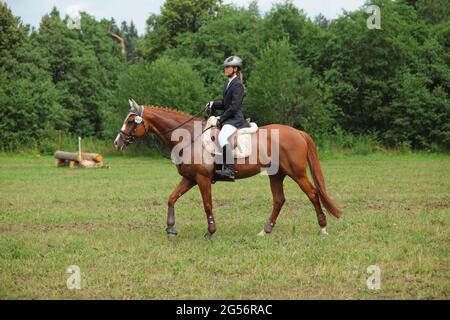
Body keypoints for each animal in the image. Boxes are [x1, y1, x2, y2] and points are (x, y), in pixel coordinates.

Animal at [113, 99, 342, 239]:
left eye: (131, 121)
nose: (117, 143)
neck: (190, 137)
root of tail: (297, 132)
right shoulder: (190, 178)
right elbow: (171, 198)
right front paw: (170, 229)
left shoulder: (202, 178)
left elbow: (207, 204)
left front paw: (210, 232)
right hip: (276, 174)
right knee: (279, 200)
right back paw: (265, 231)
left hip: (297, 173)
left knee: (312, 194)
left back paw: (323, 228)